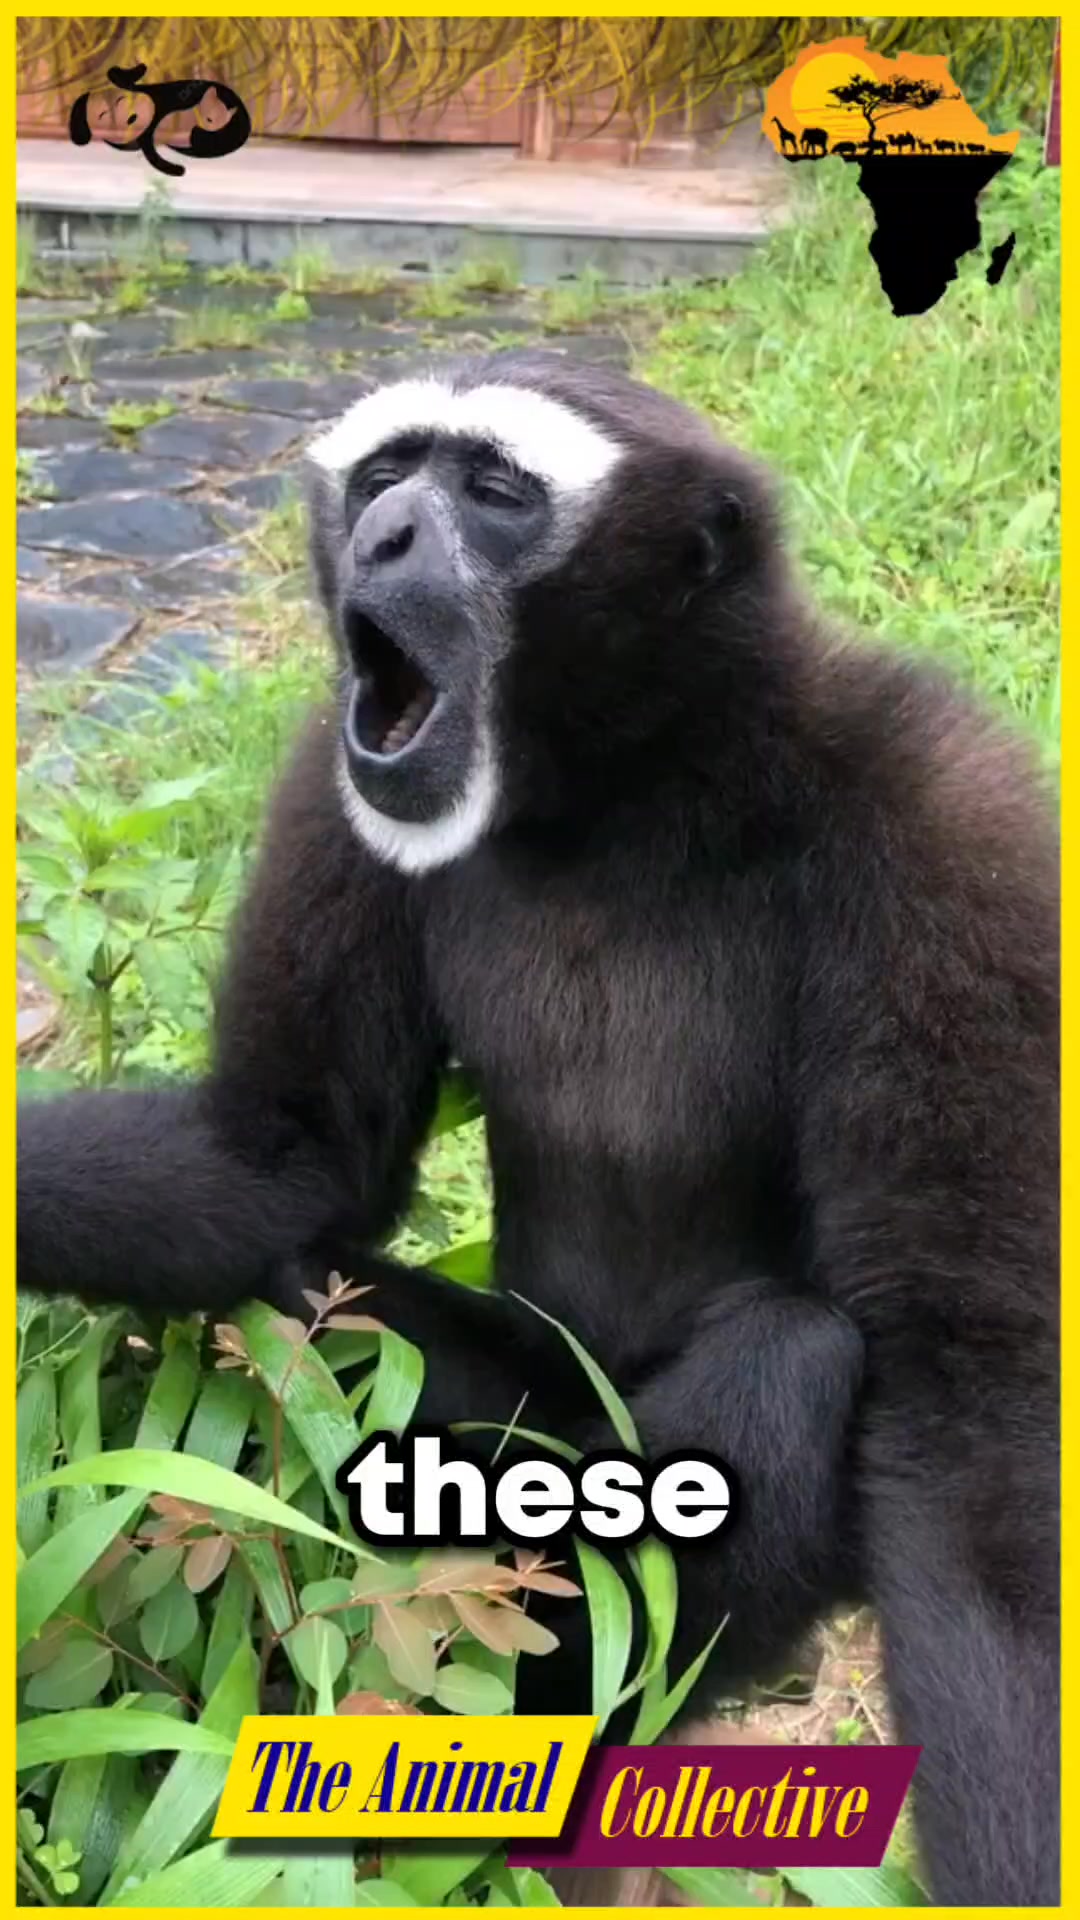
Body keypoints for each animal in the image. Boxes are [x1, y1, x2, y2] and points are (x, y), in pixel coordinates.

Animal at [17, 352, 1059, 1905]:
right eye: (389, 475)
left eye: (496, 492)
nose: (382, 535)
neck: (631, 791)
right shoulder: (330, 787)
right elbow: (279, 1169)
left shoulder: (954, 824)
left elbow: (968, 1416)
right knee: (298, 1306)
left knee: (793, 1357)